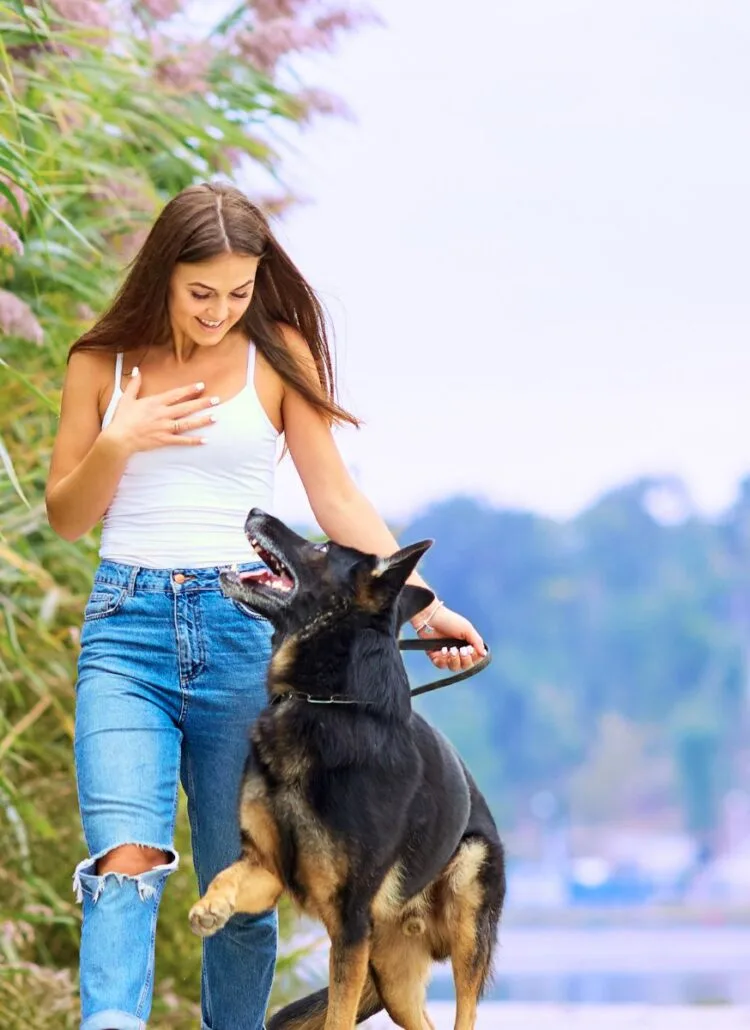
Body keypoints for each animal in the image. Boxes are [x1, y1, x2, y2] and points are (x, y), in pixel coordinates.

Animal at [188, 508, 504, 1030]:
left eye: (320, 549)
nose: (255, 511)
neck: (324, 703)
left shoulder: (349, 928)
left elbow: (337, 1018)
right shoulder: (265, 871)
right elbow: (224, 877)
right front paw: (211, 907)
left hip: (464, 924)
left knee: (465, 1011)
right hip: (393, 979)